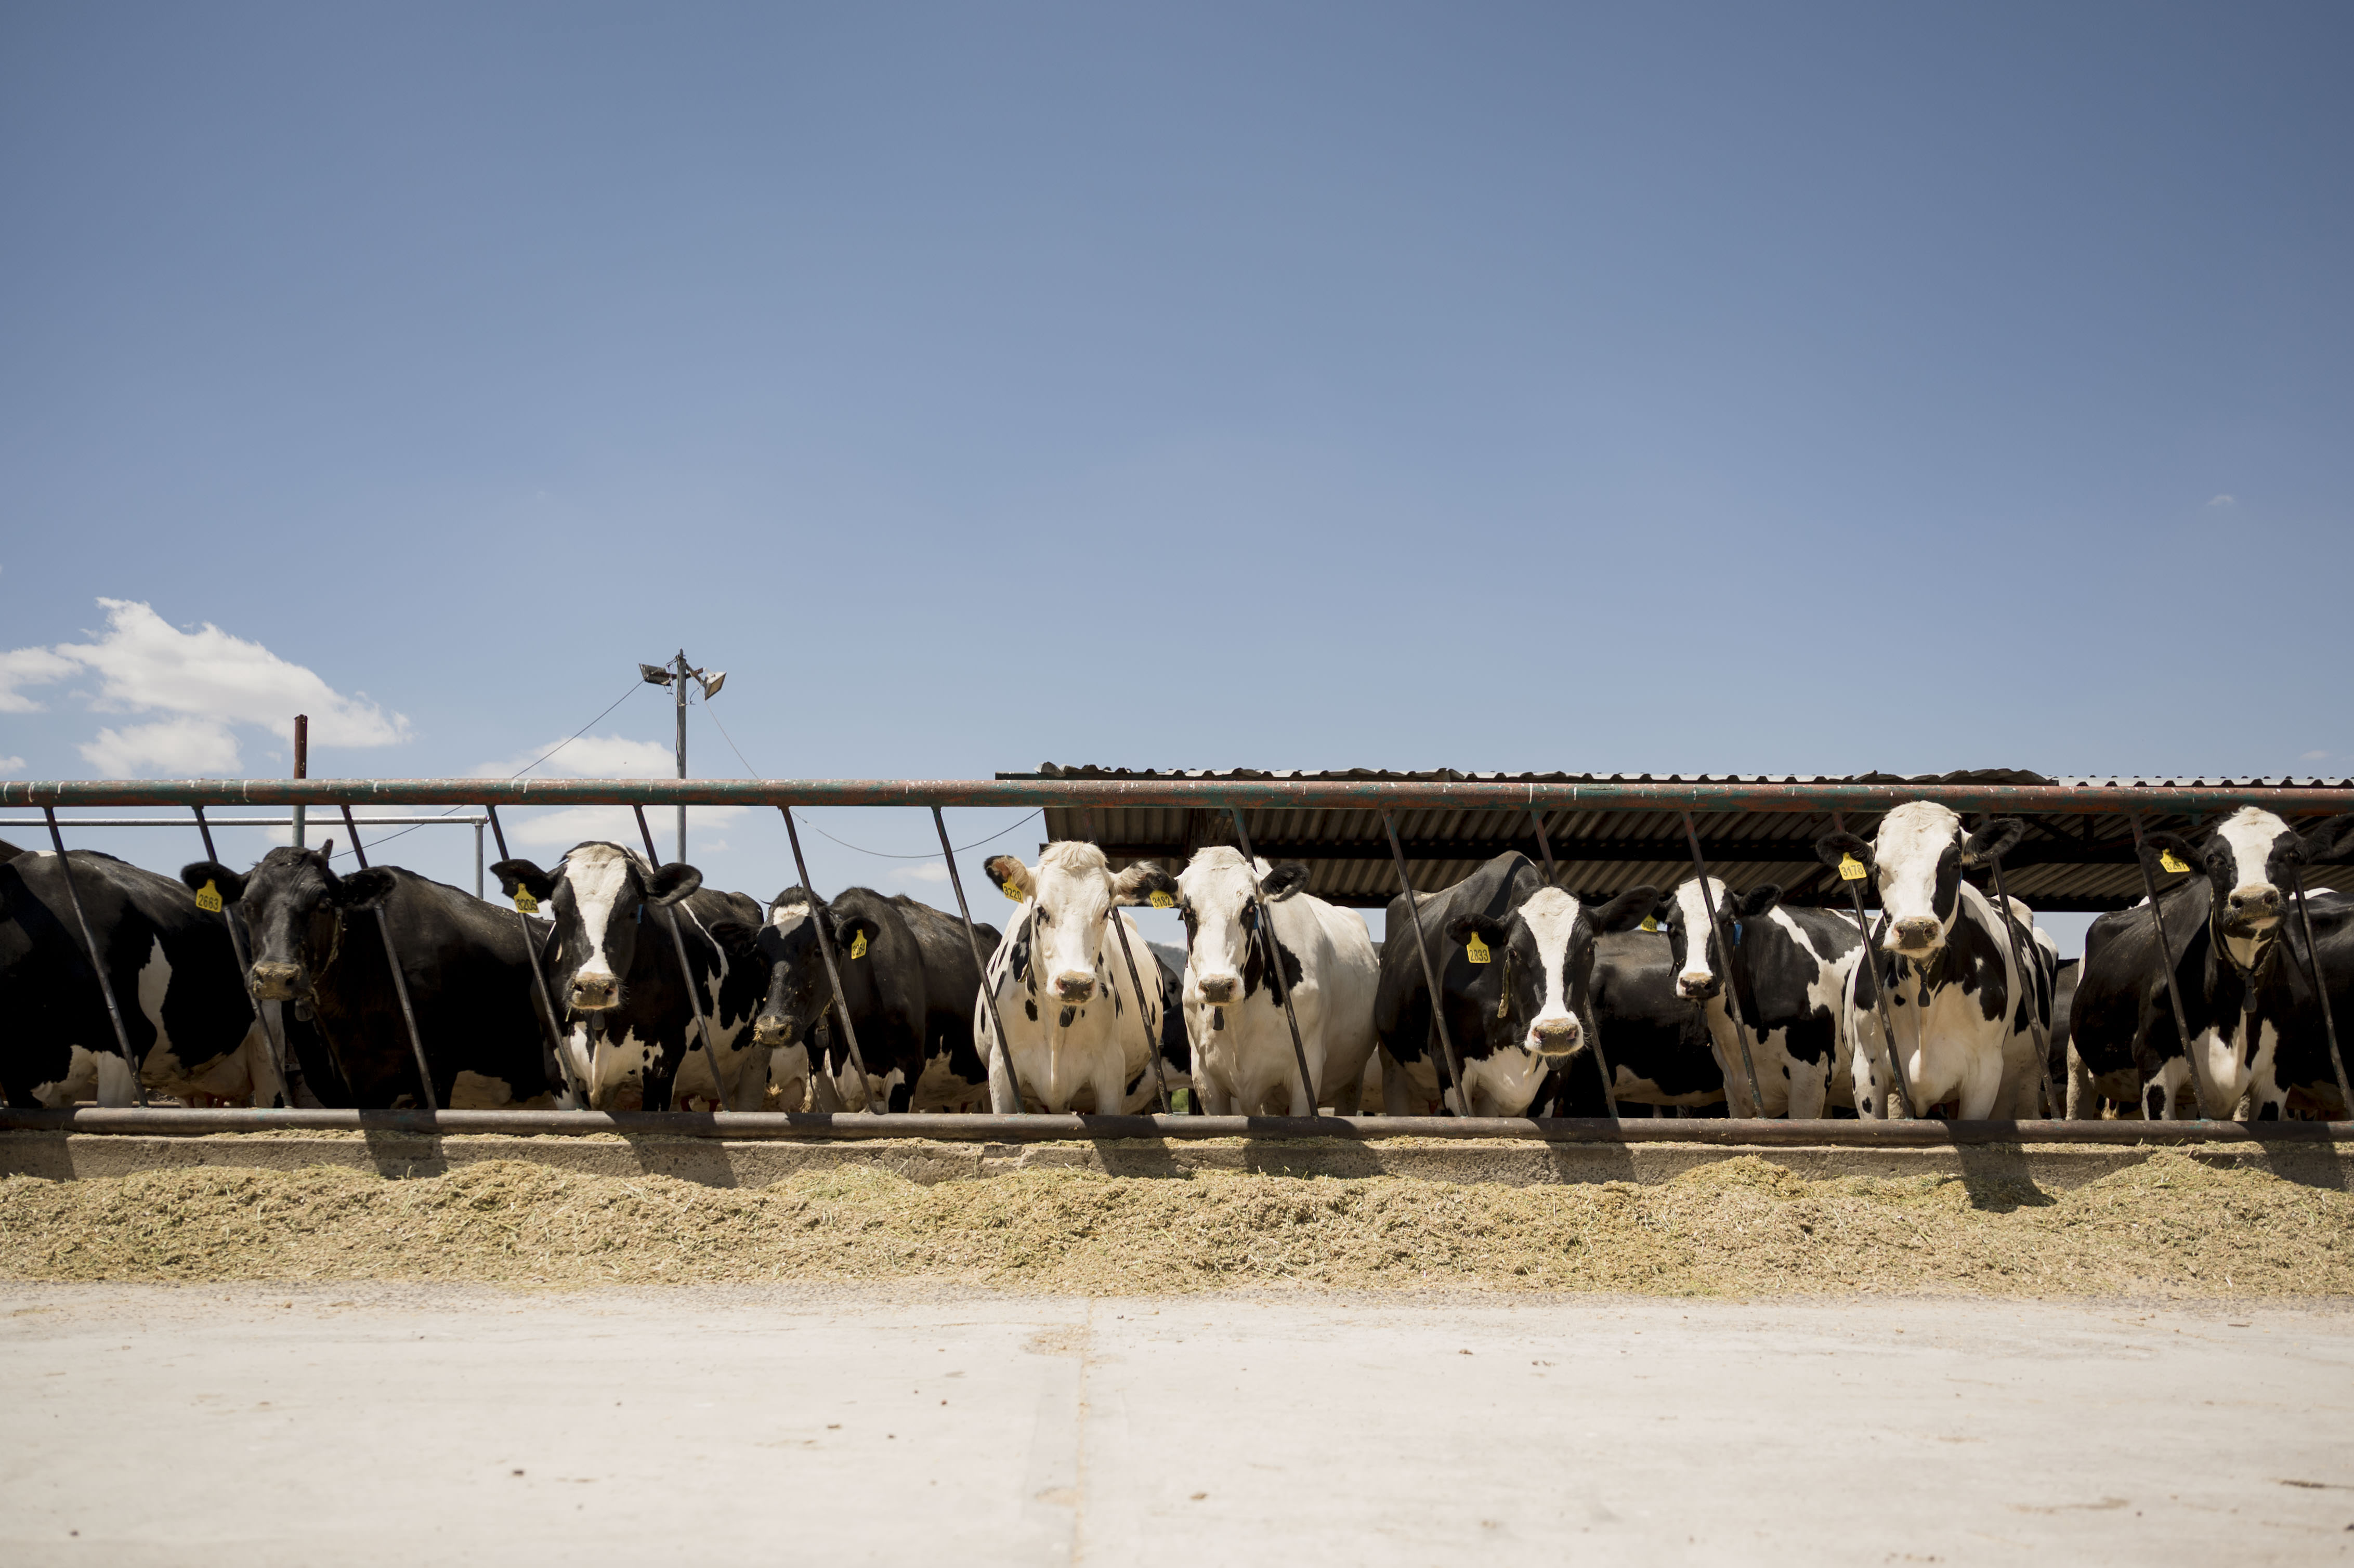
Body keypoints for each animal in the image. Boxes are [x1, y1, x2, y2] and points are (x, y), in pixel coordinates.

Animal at [491, 843, 766, 1111]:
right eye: (557, 910)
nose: (593, 987)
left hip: (754, 1065)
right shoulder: (557, 1064)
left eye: (633, 912)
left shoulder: (663, 1063)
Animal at [1167, 848, 1380, 1116]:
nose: (1218, 986)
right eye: (1187, 911)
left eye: (1250, 908)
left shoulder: (1306, 1074)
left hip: (1351, 1082)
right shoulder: (1205, 1080)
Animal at [1371, 852, 1657, 1117]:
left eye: (1590, 948)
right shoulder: (1447, 1062)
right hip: (1393, 1070)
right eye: (1513, 952)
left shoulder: (1557, 1074)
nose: (1555, 1032)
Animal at [1813, 804, 2057, 1120]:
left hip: (2026, 1079)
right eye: (1877, 868)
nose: (1915, 929)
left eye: (1954, 864)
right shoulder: (1866, 1071)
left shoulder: (1986, 1074)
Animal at [2066, 807, 2354, 1121]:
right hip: (2079, 1067)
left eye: (2293, 854)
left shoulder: (2277, 1076)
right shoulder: (2154, 1061)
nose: (2254, 900)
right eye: (2213, 859)